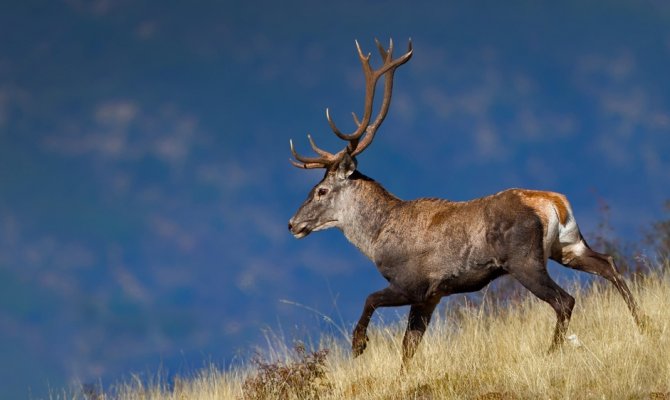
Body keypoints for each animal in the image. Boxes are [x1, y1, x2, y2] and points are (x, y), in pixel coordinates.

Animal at [288, 38, 652, 366]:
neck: (377, 238)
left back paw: (552, 352)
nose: (292, 223)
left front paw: (358, 344)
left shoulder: (414, 283)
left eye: (321, 191)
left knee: (565, 300)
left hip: (524, 259)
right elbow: (409, 347)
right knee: (608, 263)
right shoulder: (432, 296)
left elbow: (370, 300)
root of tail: (552, 203)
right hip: (566, 246)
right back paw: (642, 324)